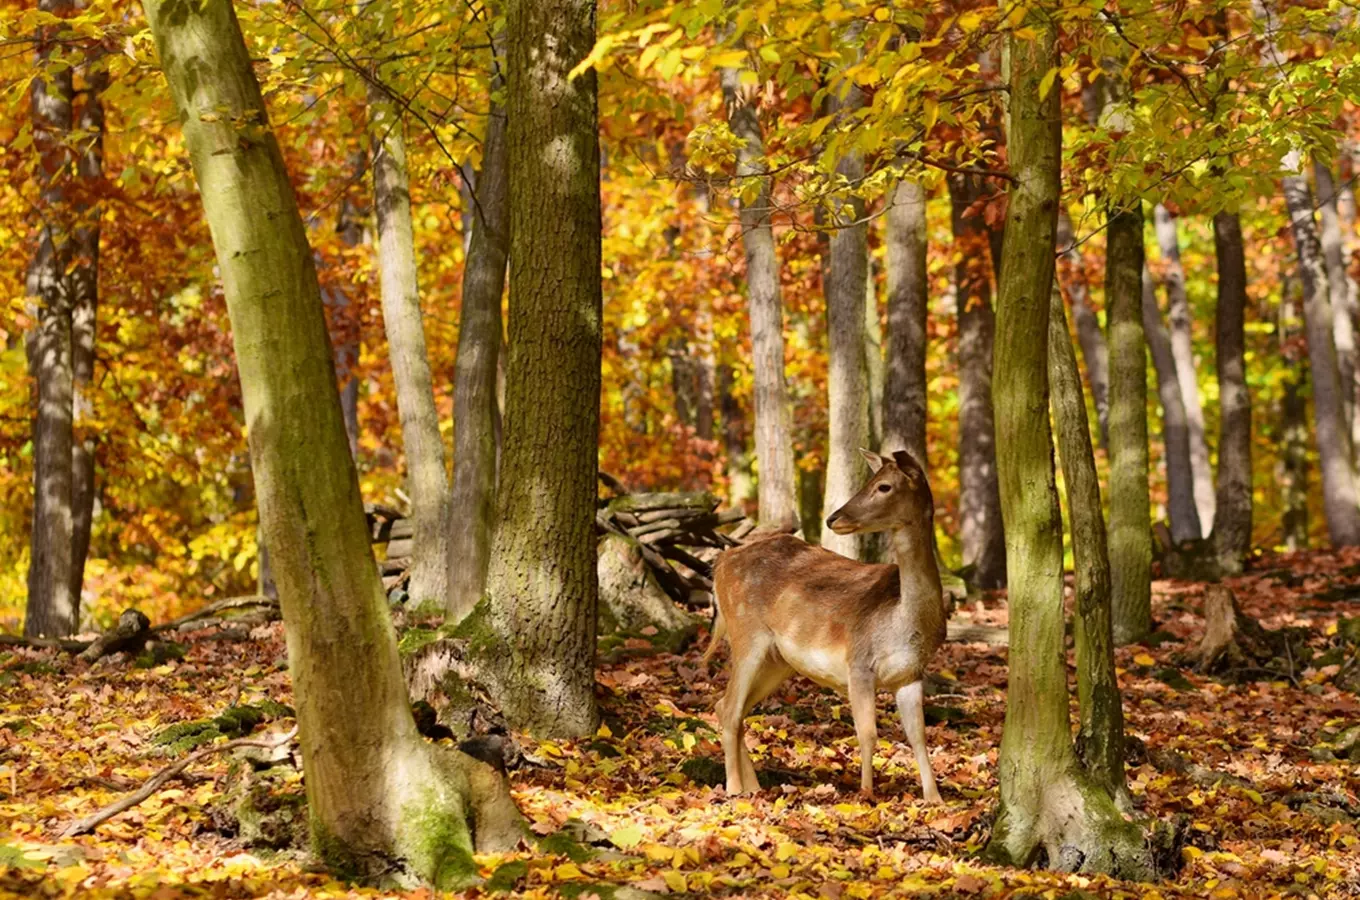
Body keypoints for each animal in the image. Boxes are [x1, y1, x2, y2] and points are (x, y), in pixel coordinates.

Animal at [701, 448, 946, 804]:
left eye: (884, 486)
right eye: (870, 480)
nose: (834, 518)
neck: (902, 620)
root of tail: (720, 563)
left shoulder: (910, 674)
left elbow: (918, 737)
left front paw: (934, 799)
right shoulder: (858, 662)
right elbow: (868, 733)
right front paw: (866, 795)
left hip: (778, 661)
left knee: (727, 707)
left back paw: (754, 786)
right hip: (746, 633)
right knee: (730, 709)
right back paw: (734, 790)